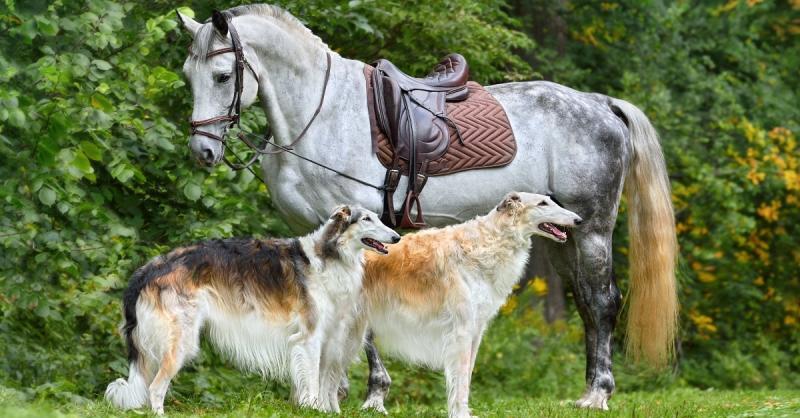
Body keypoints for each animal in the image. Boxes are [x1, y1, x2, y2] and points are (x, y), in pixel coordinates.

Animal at [104, 204, 400, 414]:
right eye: (366, 219)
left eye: (378, 217)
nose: (397, 236)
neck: (328, 254)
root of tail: (148, 269)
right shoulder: (310, 337)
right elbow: (313, 380)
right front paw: (313, 408)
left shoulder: (329, 337)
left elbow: (327, 380)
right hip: (180, 341)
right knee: (155, 388)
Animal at [354, 193, 580, 418]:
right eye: (542, 203)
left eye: (550, 200)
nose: (578, 220)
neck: (489, 242)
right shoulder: (461, 331)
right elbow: (461, 380)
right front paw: (461, 413)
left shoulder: (476, 330)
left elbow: (467, 376)